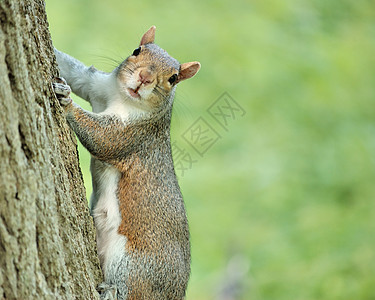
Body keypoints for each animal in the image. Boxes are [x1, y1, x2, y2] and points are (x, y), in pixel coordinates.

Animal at [53, 26, 201, 300]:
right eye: (136, 50)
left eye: (173, 78)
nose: (144, 77)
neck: (122, 98)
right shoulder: (96, 85)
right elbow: (76, 72)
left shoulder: (132, 134)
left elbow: (102, 138)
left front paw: (67, 103)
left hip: (134, 267)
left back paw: (109, 292)